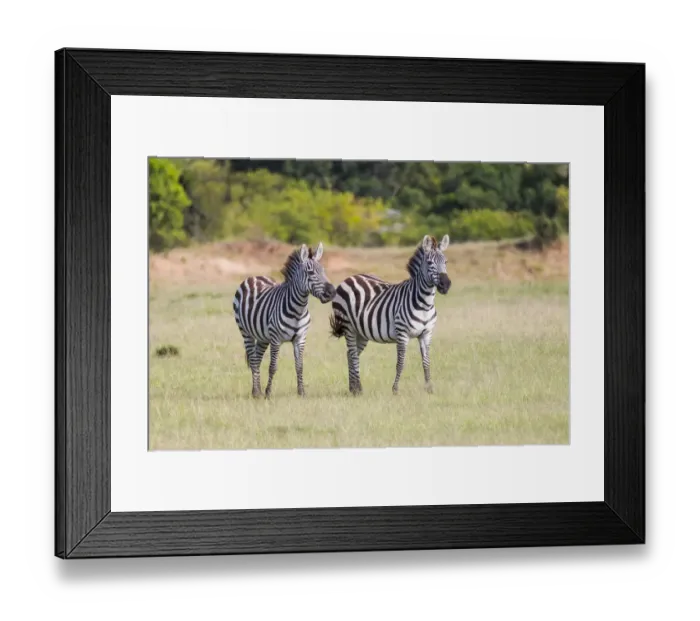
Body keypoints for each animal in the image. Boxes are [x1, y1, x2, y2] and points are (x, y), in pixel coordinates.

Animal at [233, 243, 336, 399]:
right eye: (311, 273)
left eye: (323, 271)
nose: (332, 292)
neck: (298, 310)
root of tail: (255, 277)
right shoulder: (276, 339)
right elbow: (273, 367)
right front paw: (268, 393)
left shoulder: (300, 338)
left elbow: (299, 366)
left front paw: (301, 392)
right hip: (246, 332)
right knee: (254, 360)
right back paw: (257, 392)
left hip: (263, 337)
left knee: (257, 358)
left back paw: (257, 391)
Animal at [329, 234, 451, 396]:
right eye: (430, 262)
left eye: (446, 262)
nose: (446, 285)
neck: (425, 304)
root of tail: (350, 278)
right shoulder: (402, 334)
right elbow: (400, 363)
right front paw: (395, 389)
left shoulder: (426, 334)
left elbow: (426, 362)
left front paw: (429, 388)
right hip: (348, 327)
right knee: (353, 355)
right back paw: (357, 390)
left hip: (361, 332)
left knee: (350, 354)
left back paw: (354, 388)